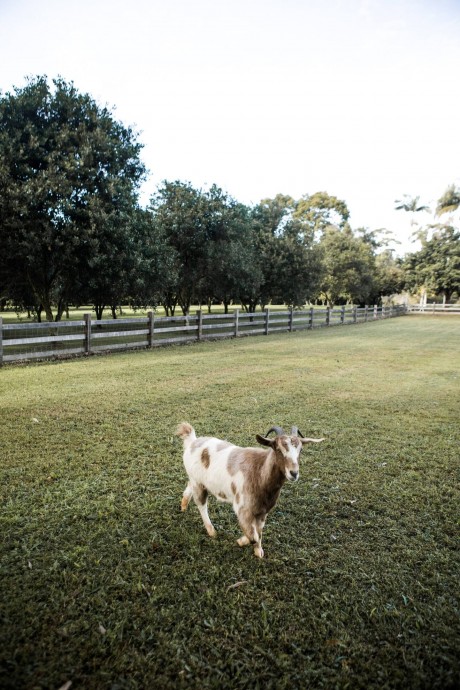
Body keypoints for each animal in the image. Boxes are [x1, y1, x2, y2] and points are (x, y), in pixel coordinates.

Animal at [176, 422, 324, 556]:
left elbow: (258, 532)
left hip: (195, 480)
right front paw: (241, 542)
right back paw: (211, 531)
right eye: (278, 449)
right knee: (201, 504)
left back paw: (183, 506)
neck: (259, 473)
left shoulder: (263, 511)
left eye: (301, 450)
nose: (294, 473)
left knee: (189, 487)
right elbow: (253, 535)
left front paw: (258, 552)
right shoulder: (242, 508)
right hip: (198, 483)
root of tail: (192, 441)